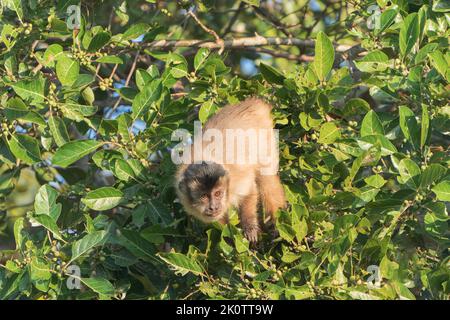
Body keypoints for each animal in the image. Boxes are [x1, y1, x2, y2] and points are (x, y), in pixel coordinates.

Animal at [174, 97, 286, 242]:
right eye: (204, 196)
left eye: (217, 193)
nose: (213, 207)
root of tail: (251, 103)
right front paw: (229, 237)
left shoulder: (235, 179)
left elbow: (249, 191)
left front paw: (250, 227)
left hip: (264, 135)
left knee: (266, 178)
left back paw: (274, 222)